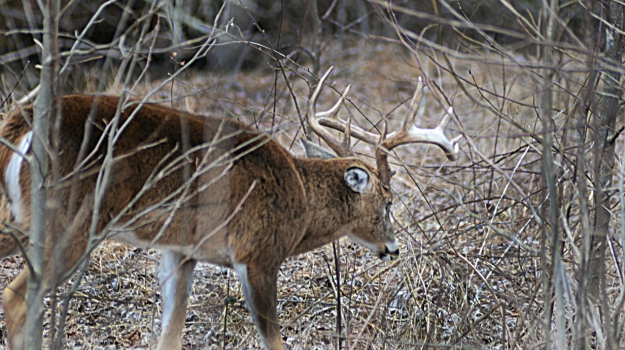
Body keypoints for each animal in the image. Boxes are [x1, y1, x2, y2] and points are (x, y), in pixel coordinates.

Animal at [0, 67, 458, 348]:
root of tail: (20, 123)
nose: (393, 248)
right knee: (17, 296)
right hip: (68, 222)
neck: (299, 199)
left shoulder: (181, 251)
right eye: (388, 201)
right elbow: (274, 340)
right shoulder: (258, 252)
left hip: (17, 216)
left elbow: (171, 334)